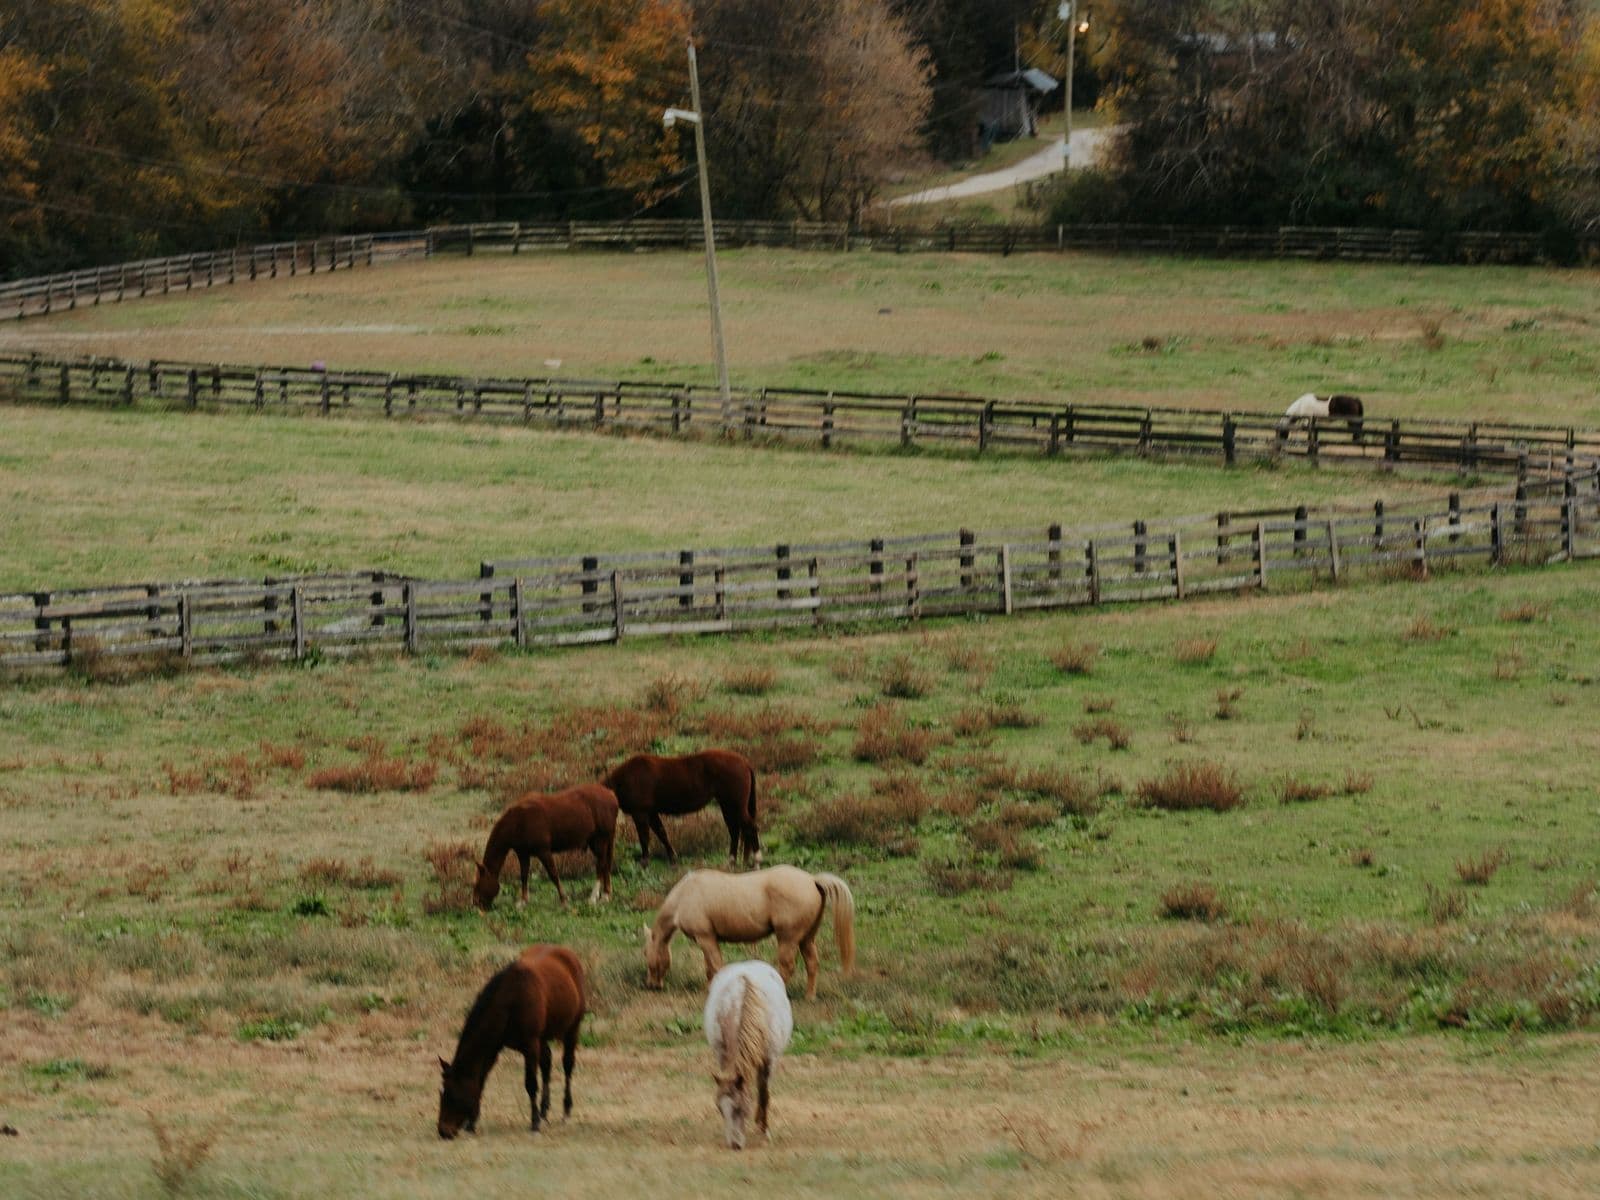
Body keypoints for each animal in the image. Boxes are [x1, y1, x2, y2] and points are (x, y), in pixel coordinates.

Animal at [437, 944, 586, 1139]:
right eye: (442, 1092)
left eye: (453, 1095)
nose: (443, 1131)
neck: (512, 999)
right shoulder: (494, 1047)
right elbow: (481, 1081)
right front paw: (471, 1124)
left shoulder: (530, 1045)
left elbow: (530, 1084)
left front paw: (534, 1122)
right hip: (543, 1037)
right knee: (547, 1063)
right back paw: (544, 1110)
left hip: (572, 1028)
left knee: (567, 1064)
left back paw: (565, 1110)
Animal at [473, 785, 618, 910]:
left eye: (477, 884)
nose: (475, 904)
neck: (517, 821)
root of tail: (611, 795)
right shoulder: (523, 854)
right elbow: (524, 875)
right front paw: (523, 901)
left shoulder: (544, 852)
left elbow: (553, 874)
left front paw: (564, 900)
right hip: (598, 841)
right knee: (606, 864)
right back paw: (606, 894)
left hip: (600, 839)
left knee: (601, 865)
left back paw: (593, 897)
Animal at [603, 749, 761, 867]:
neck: (626, 779)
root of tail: (745, 762)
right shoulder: (652, 813)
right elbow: (662, 833)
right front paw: (673, 858)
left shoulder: (641, 813)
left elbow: (644, 837)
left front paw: (644, 862)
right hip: (727, 805)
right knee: (735, 831)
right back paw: (731, 862)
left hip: (736, 806)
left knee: (750, 827)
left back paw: (756, 860)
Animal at [643, 865, 855, 1000]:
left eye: (646, 954)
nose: (652, 985)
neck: (685, 895)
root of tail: (812, 880)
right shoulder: (708, 940)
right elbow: (710, 966)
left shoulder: (705, 938)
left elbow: (715, 965)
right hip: (806, 938)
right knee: (812, 964)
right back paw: (809, 996)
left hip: (788, 939)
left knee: (787, 967)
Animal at [705, 960, 792, 1150]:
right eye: (719, 1109)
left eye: (740, 1108)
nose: (735, 1145)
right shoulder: (722, 1056)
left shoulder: (769, 1060)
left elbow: (764, 1094)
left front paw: (765, 1131)